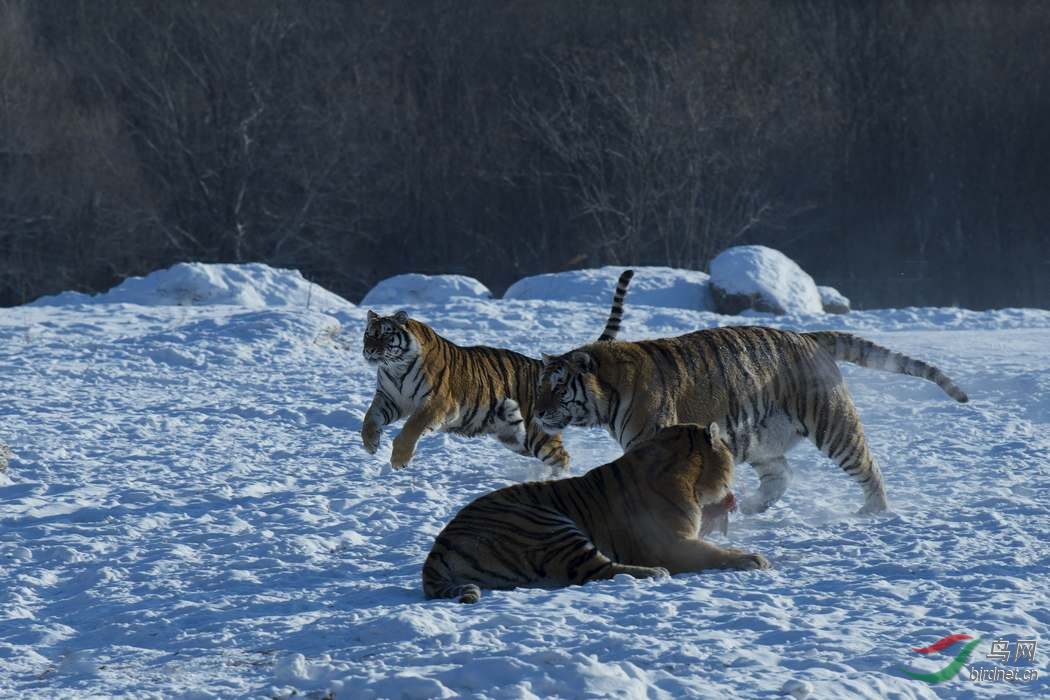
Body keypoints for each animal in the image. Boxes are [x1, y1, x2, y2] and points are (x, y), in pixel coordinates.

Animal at [361, 270, 635, 472]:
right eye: (368, 334)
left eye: (385, 335)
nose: (370, 350)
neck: (395, 368)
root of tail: (543, 365)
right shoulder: (389, 398)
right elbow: (369, 417)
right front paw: (370, 443)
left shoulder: (436, 403)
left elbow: (411, 428)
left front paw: (398, 459)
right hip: (516, 438)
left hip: (537, 436)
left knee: (562, 458)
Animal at [422, 422, 770, 603]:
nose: (732, 495)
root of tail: (436, 553)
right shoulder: (672, 544)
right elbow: (713, 552)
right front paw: (753, 558)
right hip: (552, 527)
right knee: (597, 571)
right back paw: (654, 573)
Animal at [534, 327, 969, 525]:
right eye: (541, 386)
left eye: (558, 387)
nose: (536, 412)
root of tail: (809, 336)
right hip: (756, 438)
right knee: (782, 474)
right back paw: (750, 506)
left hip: (833, 425)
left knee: (867, 465)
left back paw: (872, 511)